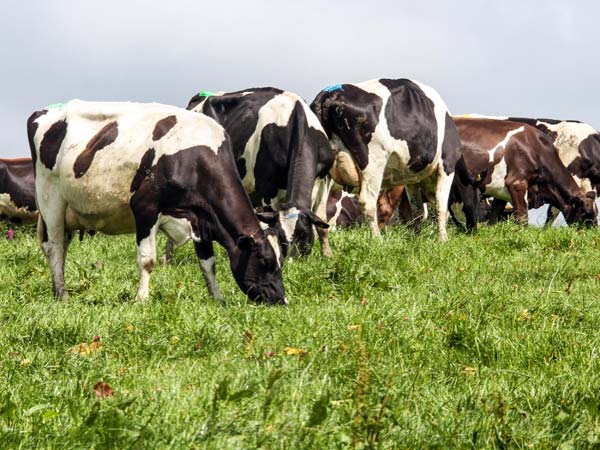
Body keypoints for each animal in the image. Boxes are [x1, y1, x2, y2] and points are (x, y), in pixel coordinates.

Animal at [28, 101, 288, 306]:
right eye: (265, 261)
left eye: (281, 260)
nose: (282, 300)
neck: (194, 159)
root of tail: (45, 111)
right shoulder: (145, 207)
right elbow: (147, 259)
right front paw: (141, 299)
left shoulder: (201, 218)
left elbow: (208, 264)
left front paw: (218, 298)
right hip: (51, 199)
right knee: (55, 246)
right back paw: (62, 295)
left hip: (69, 212)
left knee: (61, 246)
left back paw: (58, 289)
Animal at [185, 87, 336, 256]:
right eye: (281, 235)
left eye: (303, 234)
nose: (292, 260)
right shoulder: (267, 188)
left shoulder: (324, 179)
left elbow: (322, 223)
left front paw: (327, 255)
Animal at [312, 79, 462, 241]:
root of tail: (330, 94)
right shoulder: (447, 165)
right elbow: (441, 206)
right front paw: (443, 239)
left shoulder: (411, 179)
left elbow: (417, 210)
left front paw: (416, 237)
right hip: (372, 163)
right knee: (368, 202)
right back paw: (378, 239)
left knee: (315, 204)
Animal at [450, 117, 596, 227]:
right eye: (586, 213)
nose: (592, 235)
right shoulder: (516, 183)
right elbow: (522, 217)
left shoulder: (500, 192)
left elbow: (493, 217)